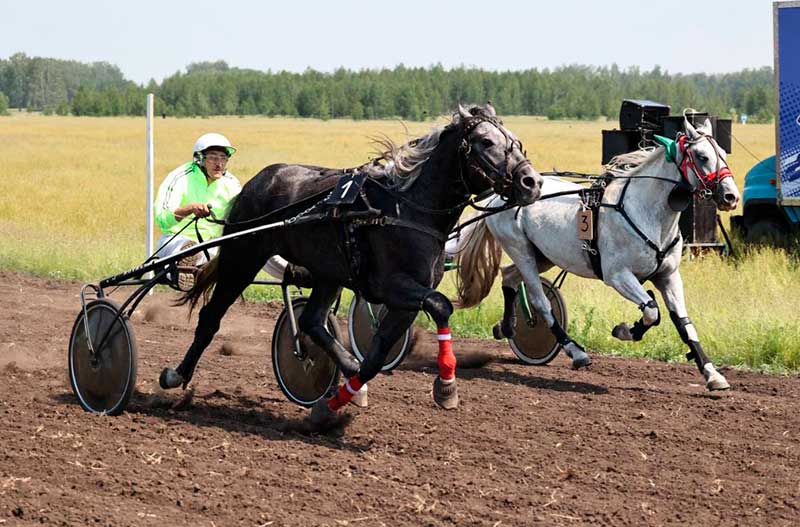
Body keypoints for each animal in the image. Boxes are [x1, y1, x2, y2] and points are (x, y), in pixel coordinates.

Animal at [460, 119, 740, 392]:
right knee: (539, 301)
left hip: (543, 256)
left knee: (508, 276)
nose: (731, 196)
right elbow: (651, 310)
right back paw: (575, 351)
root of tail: (499, 197)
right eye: (702, 156)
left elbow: (683, 323)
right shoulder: (617, 275)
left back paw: (507, 326)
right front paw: (627, 330)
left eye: (723, 153)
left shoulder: (668, 276)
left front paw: (712, 373)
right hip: (521, 250)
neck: (645, 212)